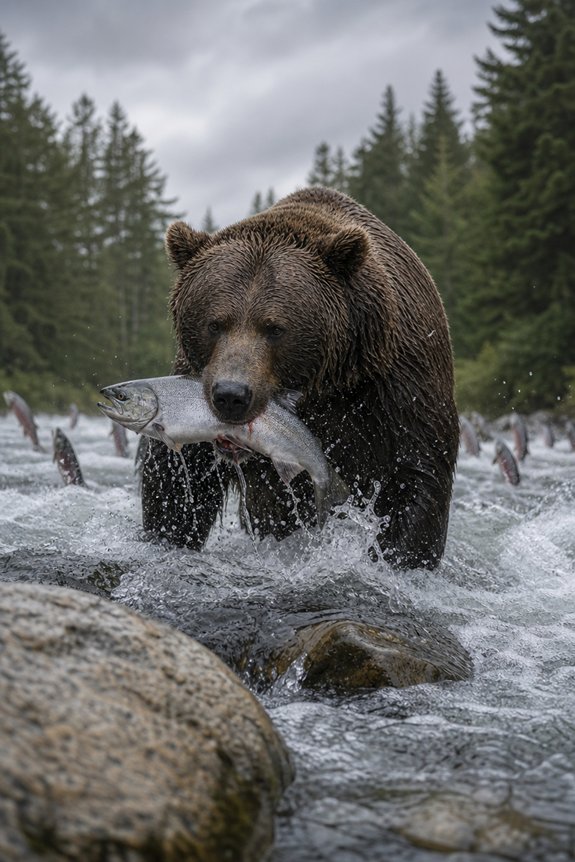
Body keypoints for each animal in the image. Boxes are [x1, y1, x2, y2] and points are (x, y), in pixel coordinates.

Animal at [141, 187, 459, 570]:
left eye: (274, 328)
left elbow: (417, 474)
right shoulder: (191, 391)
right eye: (214, 323)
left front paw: (392, 557)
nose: (231, 395)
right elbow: (175, 482)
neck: (325, 384)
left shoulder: (397, 385)